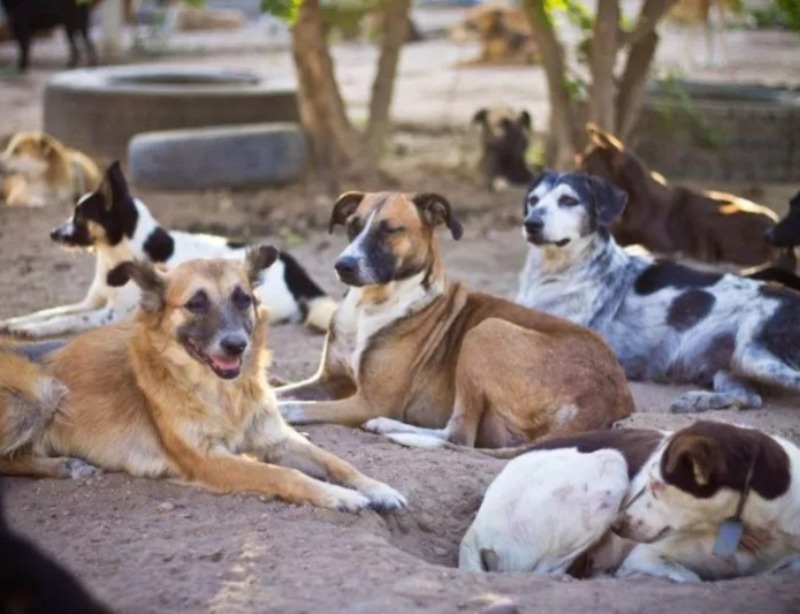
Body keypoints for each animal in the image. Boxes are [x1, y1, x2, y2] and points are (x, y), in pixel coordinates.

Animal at [0, 248, 406, 513]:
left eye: (243, 299)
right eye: (196, 303)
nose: (236, 345)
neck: (223, 393)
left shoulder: (274, 437)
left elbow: (338, 462)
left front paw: (378, 488)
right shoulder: (207, 460)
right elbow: (283, 474)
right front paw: (341, 496)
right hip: (42, 393)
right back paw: (62, 466)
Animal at [1, 161, 338, 338]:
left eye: (80, 216)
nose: (52, 233)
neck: (116, 255)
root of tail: (294, 269)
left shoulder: (110, 314)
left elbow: (67, 320)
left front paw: (34, 330)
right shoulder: (90, 302)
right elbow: (52, 311)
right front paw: (18, 323)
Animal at [277, 190, 633, 451]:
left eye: (390, 230)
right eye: (352, 226)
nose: (343, 265)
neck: (369, 304)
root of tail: (610, 395)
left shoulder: (370, 401)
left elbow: (294, 406)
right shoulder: (329, 380)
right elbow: (280, 391)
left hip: (485, 331)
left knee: (459, 436)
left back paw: (389, 426)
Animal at [460, 421, 800, 582]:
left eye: (658, 485)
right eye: (648, 480)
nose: (617, 525)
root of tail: (475, 529)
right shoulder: (646, 555)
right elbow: (689, 577)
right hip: (611, 465)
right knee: (546, 572)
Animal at [517, 170, 800, 414]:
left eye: (568, 200)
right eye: (533, 200)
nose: (531, 224)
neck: (551, 273)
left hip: (753, 354)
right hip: (733, 364)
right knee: (750, 397)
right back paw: (698, 400)